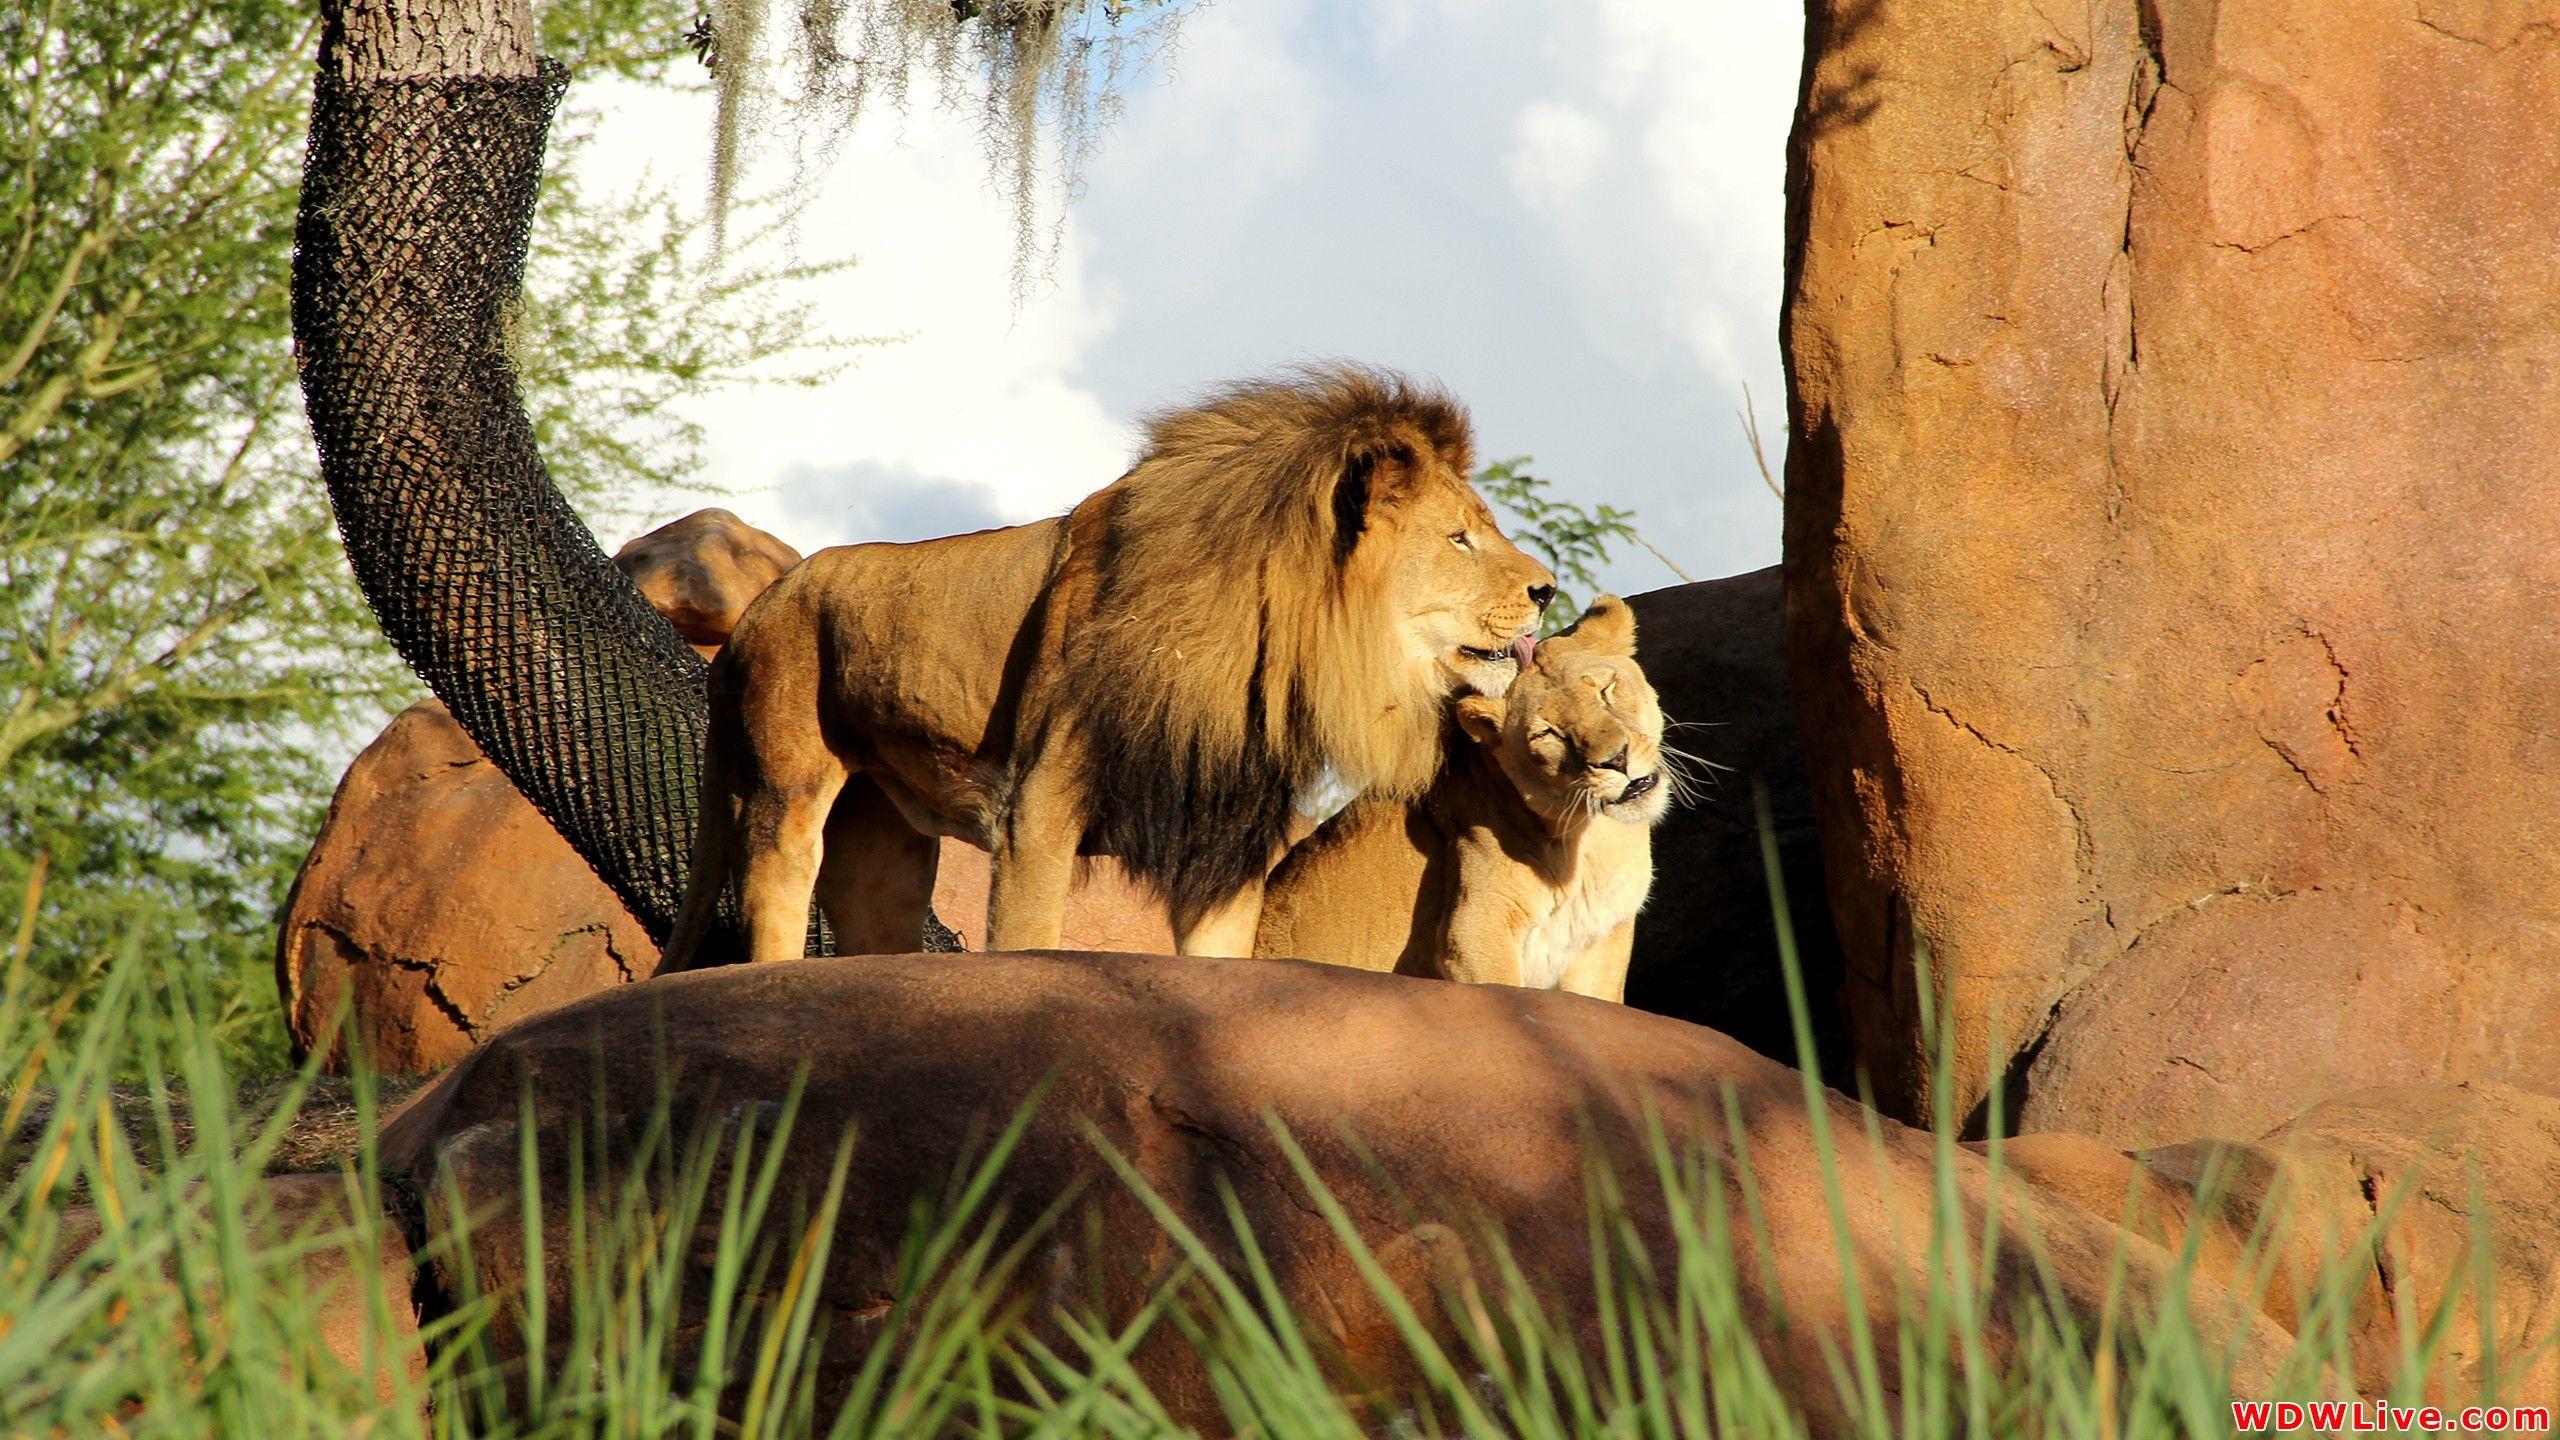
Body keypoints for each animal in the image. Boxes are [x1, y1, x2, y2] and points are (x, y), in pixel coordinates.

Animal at [662, 365, 1558, 967]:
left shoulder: (1223, 836)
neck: (1257, 651)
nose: (1548, 590)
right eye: (1459, 538)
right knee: (773, 904)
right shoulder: (1037, 803)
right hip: (784, 789)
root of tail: (755, 614)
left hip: (885, 846)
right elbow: (1028, 937)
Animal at [1252, 596, 1678, 1001]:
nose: (1616, 760)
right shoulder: (1474, 930)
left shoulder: (1603, 940)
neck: (1595, 838)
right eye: (1549, 735)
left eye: (1606, 689)